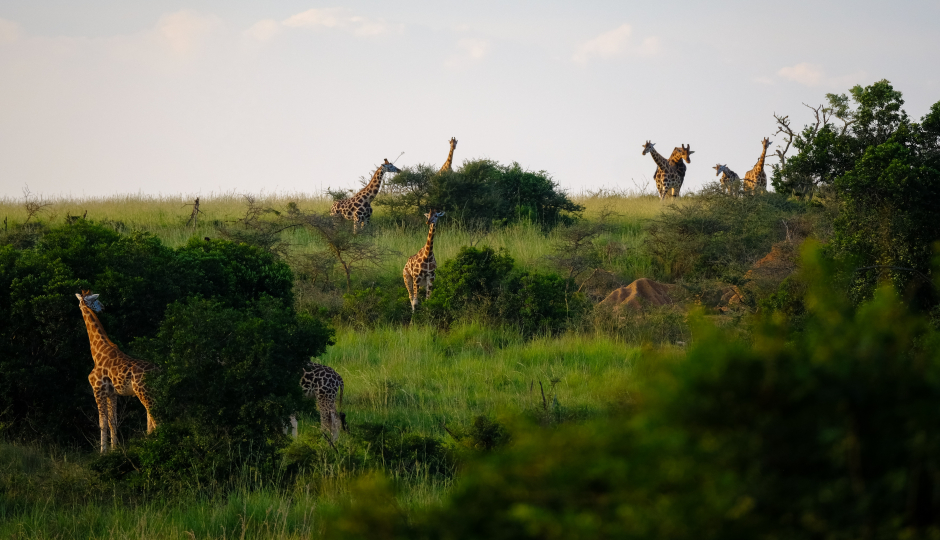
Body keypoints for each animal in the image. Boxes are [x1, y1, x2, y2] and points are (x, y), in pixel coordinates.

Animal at [75, 292, 158, 452]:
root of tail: (159, 371)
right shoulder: (112, 393)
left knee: (155, 415)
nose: (103, 307)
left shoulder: (98, 390)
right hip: (149, 392)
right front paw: (114, 450)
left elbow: (102, 423)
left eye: (95, 299)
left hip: (143, 392)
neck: (97, 352)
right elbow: (112, 421)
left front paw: (103, 452)